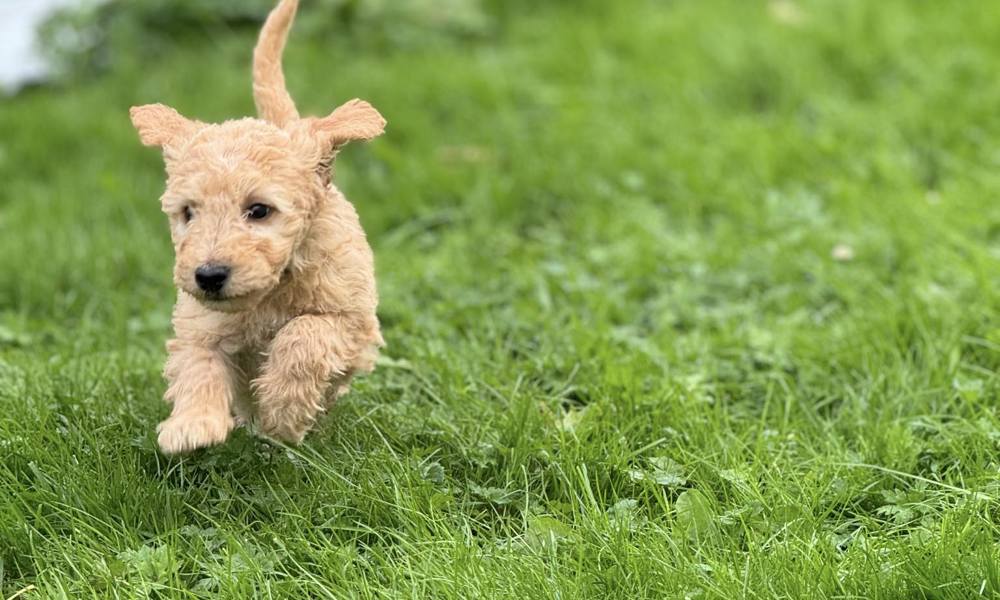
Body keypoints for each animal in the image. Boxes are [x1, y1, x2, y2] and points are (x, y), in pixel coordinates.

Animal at [128, 0, 382, 452]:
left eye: (259, 210)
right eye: (188, 212)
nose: (209, 275)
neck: (272, 291)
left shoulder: (351, 322)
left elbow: (304, 335)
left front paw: (283, 412)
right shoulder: (201, 323)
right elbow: (198, 366)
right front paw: (191, 425)